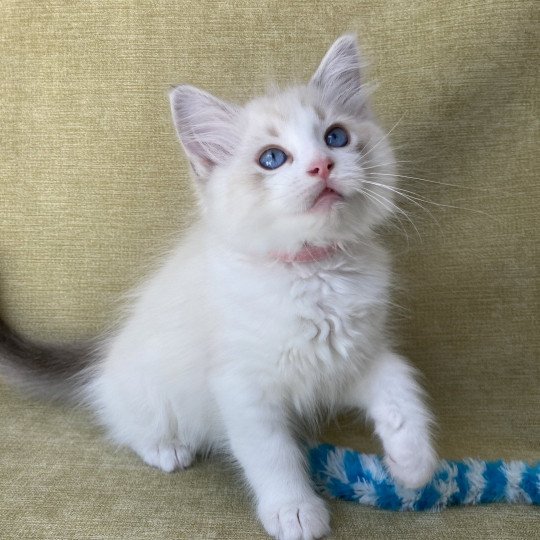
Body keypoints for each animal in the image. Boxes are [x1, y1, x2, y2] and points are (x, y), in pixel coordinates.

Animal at [0, 35, 436, 536]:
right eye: (272, 159)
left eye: (336, 137)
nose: (322, 166)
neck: (314, 274)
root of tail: (103, 358)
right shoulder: (242, 386)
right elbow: (271, 455)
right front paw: (293, 510)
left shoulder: (356, 356)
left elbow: (401, 389)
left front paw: (414, 463)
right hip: (148, 390)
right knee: (127, 425)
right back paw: (166, 449)